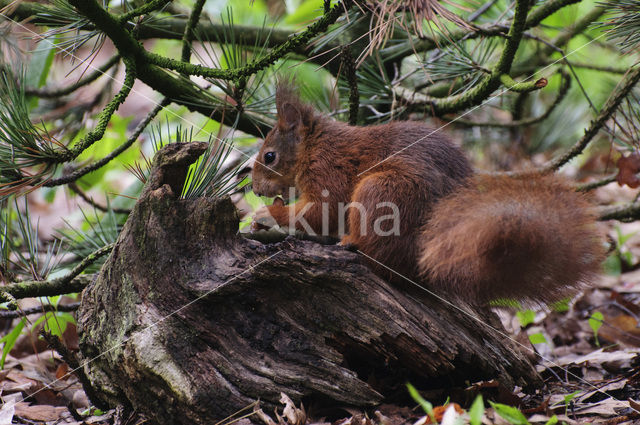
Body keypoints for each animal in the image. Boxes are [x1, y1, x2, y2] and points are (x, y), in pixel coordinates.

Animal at [251, 84, 604, 304]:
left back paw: (353, 243)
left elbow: (322, 210)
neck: (314, 144)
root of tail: (425, 261)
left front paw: (265, 215)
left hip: (382, 191)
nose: (254, 189)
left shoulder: (329, 170)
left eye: (269, 156)